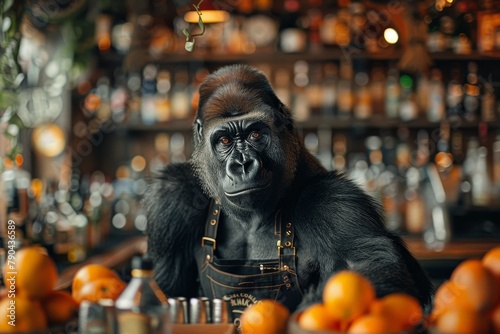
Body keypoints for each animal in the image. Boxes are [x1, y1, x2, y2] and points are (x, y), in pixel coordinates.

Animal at [143, 63, 432, 318]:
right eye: (224, 140)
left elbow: (367, 267)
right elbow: (165, 287)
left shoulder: (332, 199)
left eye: (255, 134)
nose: (242, 165)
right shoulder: (173, 196)